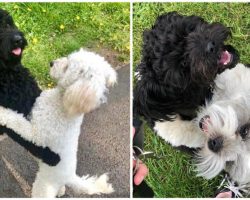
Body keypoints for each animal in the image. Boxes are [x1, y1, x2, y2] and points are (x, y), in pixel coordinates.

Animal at [0, 8, 59, 166]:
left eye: (8, 23)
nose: (18, 39)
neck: (7, 73)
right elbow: (27, 136)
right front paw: (51, 155)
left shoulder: (33, 93)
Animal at [0, 48, 116, 197]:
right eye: (68, 57)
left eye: (67, 67)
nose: (51, 63)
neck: (63, 104)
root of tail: (70, 177)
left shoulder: (36, 135)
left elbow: (16, 121)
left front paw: (2, 113)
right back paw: (61, 191)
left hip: (43, 187)